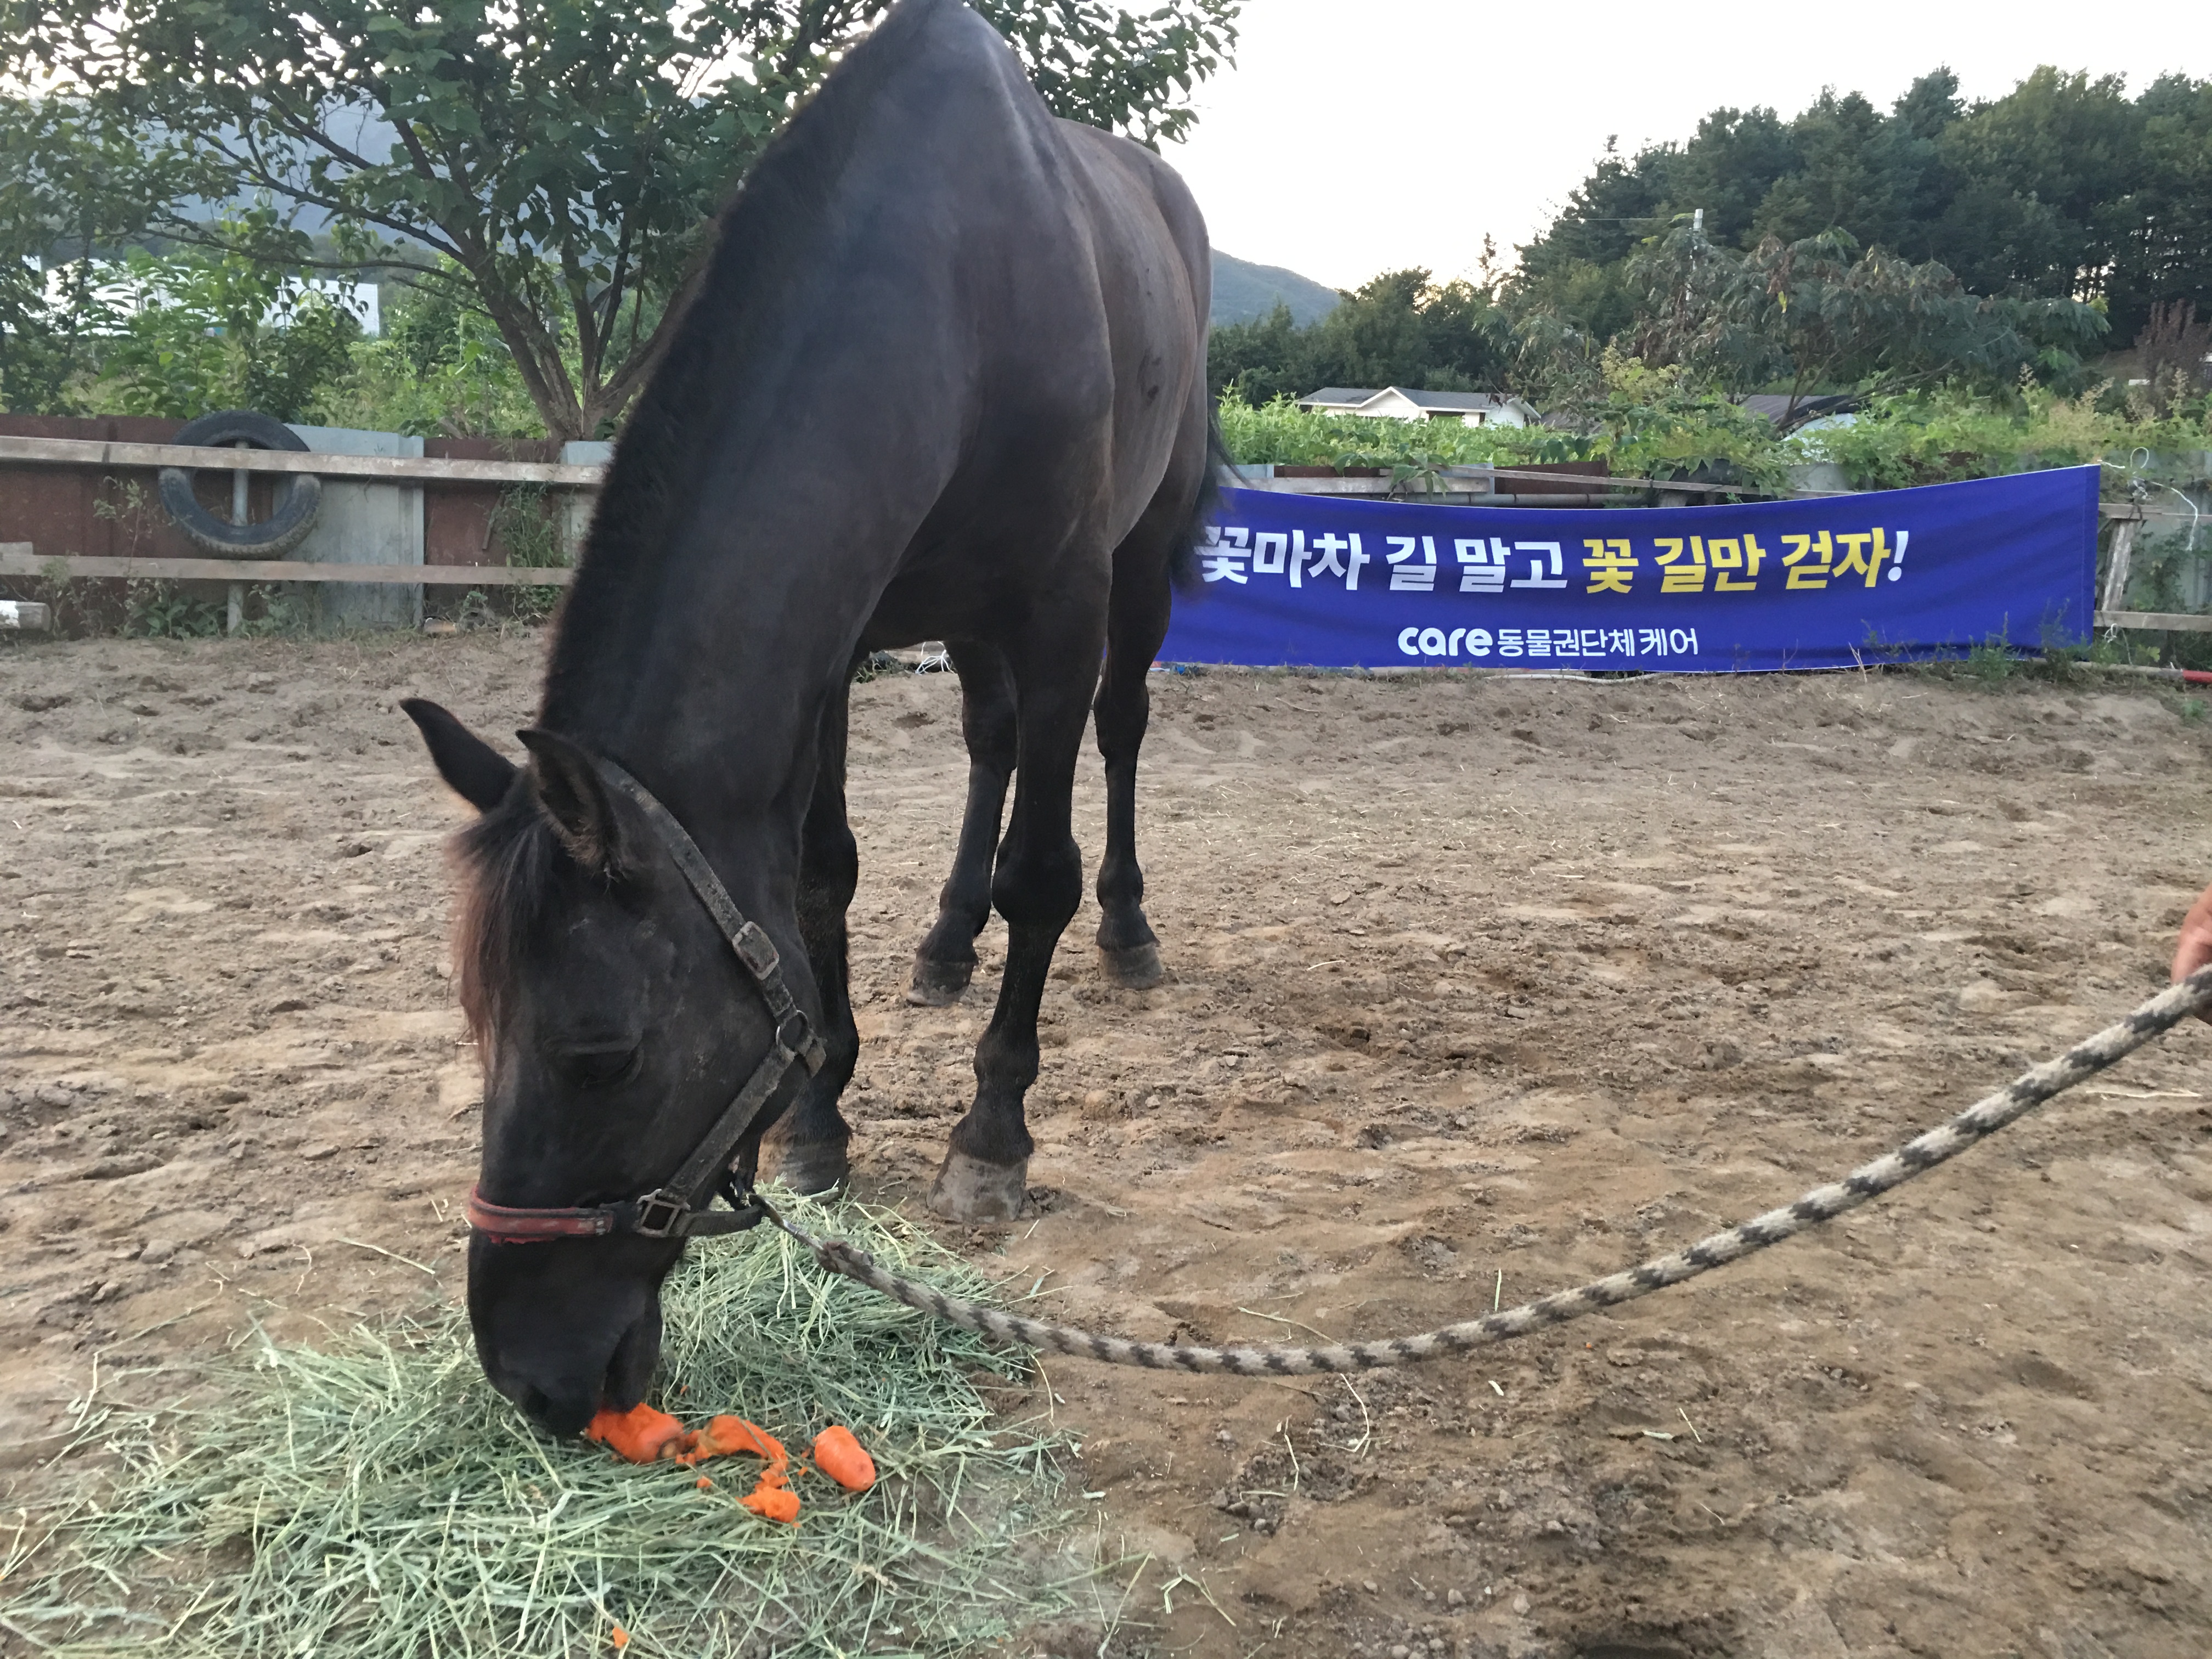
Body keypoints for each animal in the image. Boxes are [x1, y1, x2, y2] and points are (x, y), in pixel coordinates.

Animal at [407, 0, 1221, 1433]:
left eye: (602, 1053)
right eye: (478, 1025)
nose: (529, 1375)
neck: (950, 292)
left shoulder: (1060, 610)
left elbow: (1042, 874)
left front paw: (991, 1137)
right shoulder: (842, 639)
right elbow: (818, 879)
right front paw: (818, 1122)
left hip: (1134, 570)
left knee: (1115, 737)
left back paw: (1129, 932)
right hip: (968, 629)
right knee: (989, 744)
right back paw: (945, 942)